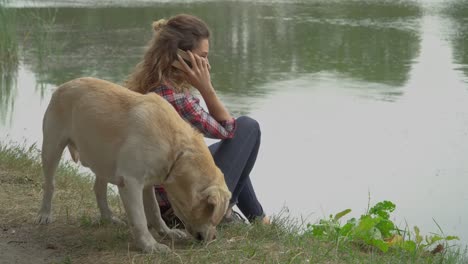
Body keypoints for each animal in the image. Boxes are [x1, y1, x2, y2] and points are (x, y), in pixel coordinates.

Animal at [36, 77, 232, 252]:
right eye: (214, 217)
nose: (214, 238)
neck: (177, 150)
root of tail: (64, 85)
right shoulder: (131, 182)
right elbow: (140, 219)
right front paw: (150, 245)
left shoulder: (147, 184)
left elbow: (154, 211)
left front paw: (167, 233)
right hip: (52, 149)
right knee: (50, 184)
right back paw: (44, 215)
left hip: (103, 159)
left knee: (99, 189)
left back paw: (108, 217)